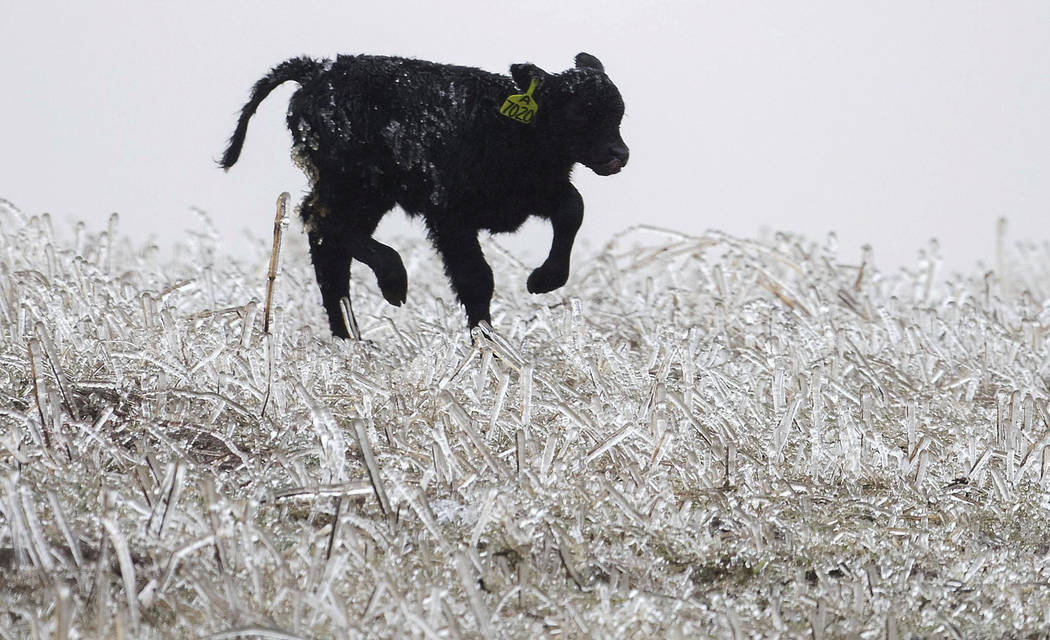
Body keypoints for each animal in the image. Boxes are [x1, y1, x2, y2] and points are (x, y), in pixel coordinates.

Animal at [221, 52, 628, 338]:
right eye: (576, 113)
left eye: (619, 113)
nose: (619, 155)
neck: (505, 126)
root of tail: (318, 70)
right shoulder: (449, 217)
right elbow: (477, 280)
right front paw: (489, 351)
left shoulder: (540, 193)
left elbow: (573, 209)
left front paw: (543, 280)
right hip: (356, 184)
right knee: (321, 223)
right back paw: (393, 283)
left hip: (367, 195)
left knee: (332, 248)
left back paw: (351, 338)